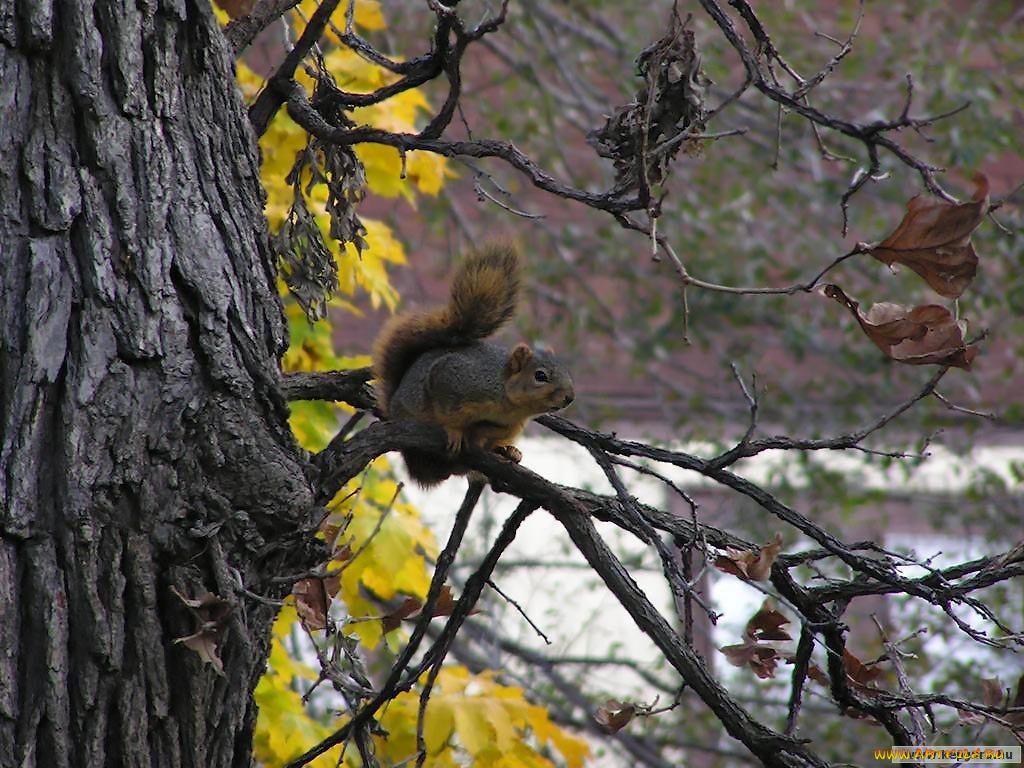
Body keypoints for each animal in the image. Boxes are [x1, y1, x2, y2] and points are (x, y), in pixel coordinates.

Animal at [372, 243, 577, 487]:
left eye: (566, 372)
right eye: (540, 376)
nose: (569, 397)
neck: (510, 402)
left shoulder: (511, 425)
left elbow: (489, 434)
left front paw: (504, 448)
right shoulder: (455, 378)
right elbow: (449, 413)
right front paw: (454, 432)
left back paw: (509, 452)